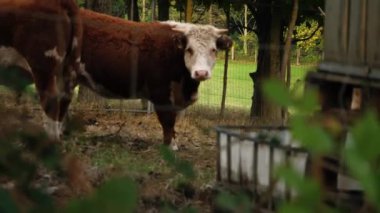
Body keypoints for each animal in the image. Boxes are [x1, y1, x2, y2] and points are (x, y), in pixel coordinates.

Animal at [77, 9, 232, 150]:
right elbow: (167, 121)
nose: (201, 73)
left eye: (213, 50)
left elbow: (173, 122)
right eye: (189, 49)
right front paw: (169, 146)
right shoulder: (160, 93)